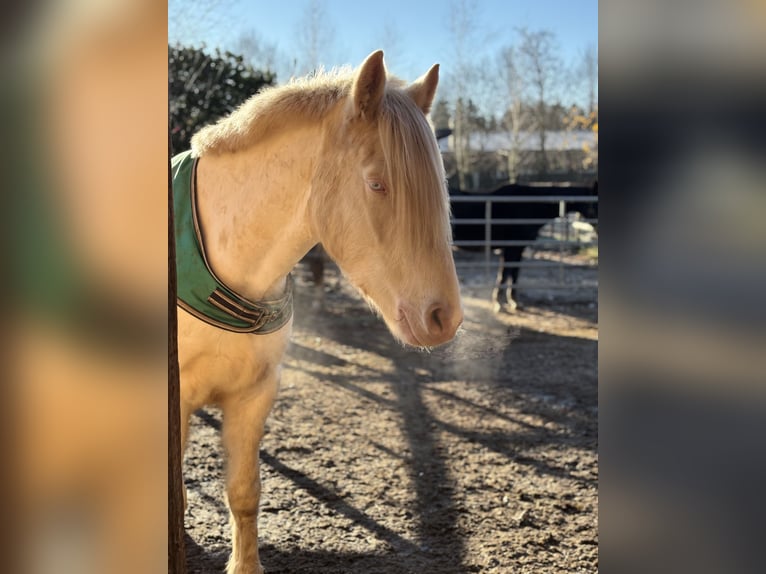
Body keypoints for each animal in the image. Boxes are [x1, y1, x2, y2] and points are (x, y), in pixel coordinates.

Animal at [450, 182, 600, 312]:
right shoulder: (511, 248)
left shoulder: (517, 248)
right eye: (596, 204)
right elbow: (504, 274)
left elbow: (514, 273)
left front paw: (513, 301)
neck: (530, 205)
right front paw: (498, 303)